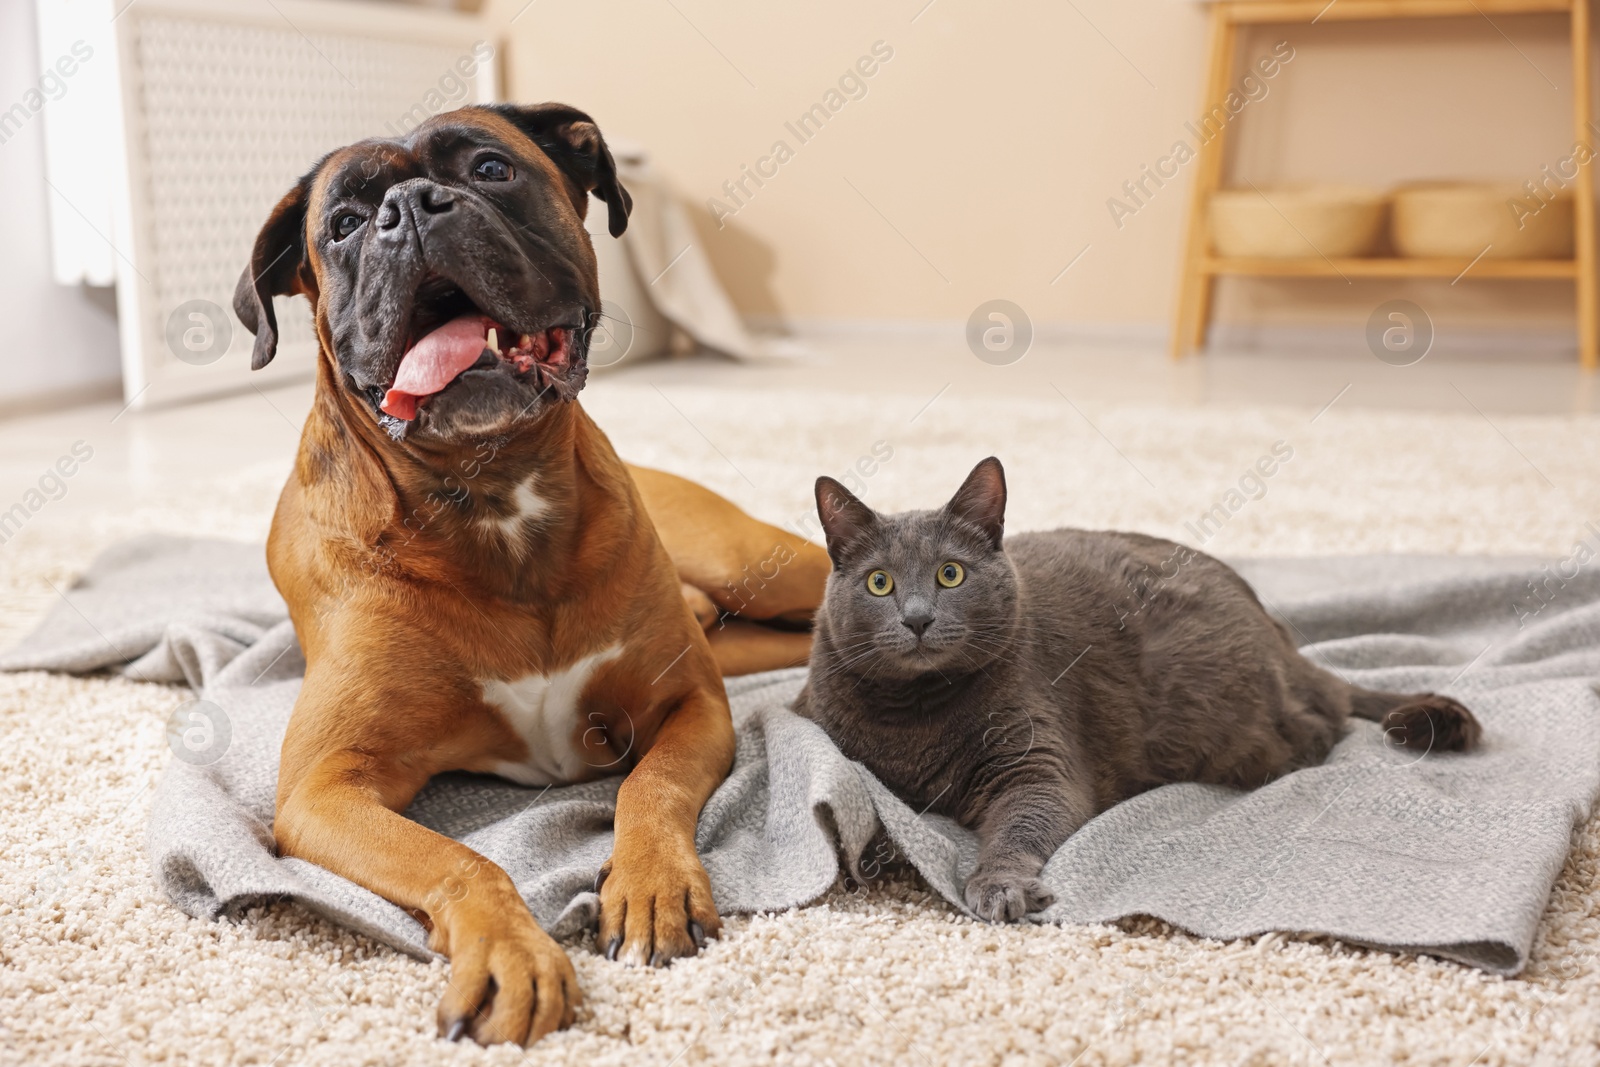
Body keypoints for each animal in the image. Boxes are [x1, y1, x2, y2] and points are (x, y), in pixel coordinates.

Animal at [235, 103, 832, 1049]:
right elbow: (460, 858)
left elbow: (650, 787)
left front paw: (652, 887)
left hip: (761, 566)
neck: (492, 492)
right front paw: (509, 952)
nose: (411, 207)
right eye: (345, 223)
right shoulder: (326, 788)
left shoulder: (691, 705)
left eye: (490, 168)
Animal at [793, 454, 1478, 921]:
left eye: (950, 575)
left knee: (1323, 719)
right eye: (879, 583)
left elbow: (1022, 821)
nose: (916, 618)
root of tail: (1277, 630)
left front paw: (999, 885)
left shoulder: (1039, 760)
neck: (915, 713)